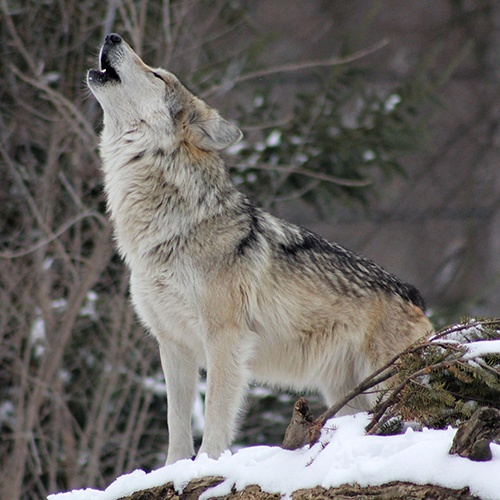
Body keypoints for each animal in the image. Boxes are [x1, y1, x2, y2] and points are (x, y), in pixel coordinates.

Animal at [88, 34, 432, 464]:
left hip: (386, 385)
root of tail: (415, 296)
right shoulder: (173, 344)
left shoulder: (225, 339)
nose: (112, 36)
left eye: (157, 75)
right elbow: (176, 424)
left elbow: (215, 415)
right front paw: (173, 470)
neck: (171, 228)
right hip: (347, 394)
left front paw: (207, 465)